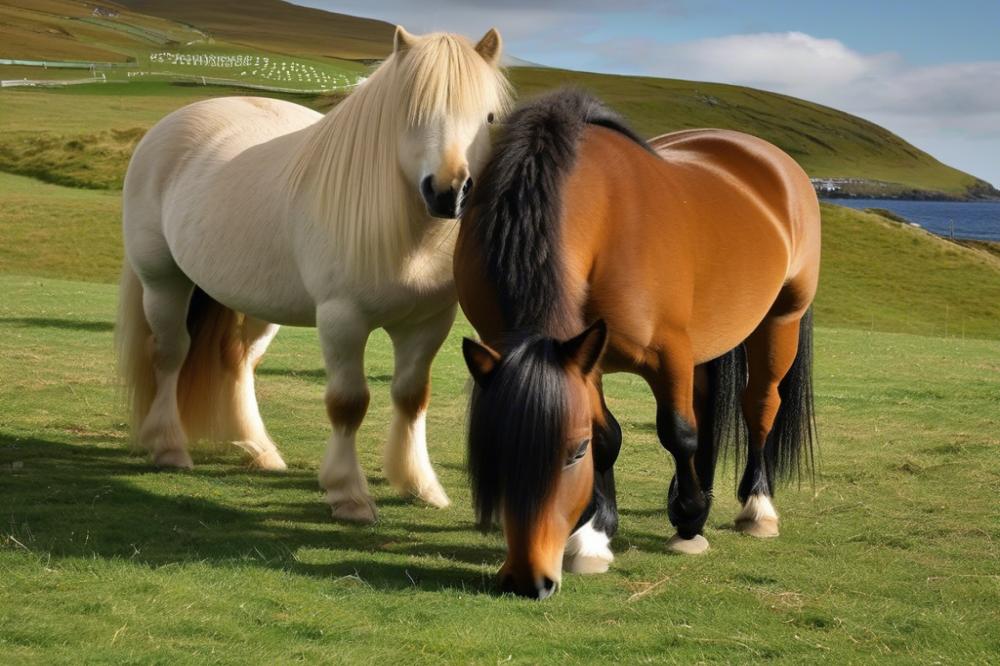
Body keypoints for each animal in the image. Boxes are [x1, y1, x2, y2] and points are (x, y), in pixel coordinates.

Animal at [454, 88, 820, 596]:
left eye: (575, 453)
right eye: (491, 453)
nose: (527, 581)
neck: (598, 218)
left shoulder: (668, 353)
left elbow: (678, 432)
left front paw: (688, 523)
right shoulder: (586, 354)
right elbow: (610, 436)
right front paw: (594, 536)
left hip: (781, 320)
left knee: (760, 407)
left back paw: (756, 507)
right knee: (709, 405)